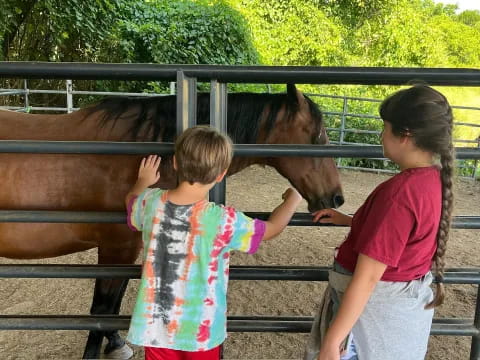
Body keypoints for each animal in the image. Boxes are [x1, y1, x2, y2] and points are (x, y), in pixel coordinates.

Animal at [0, 83, 344, 358]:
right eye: (317, 136)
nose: (337, 198)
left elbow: (113, 305)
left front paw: (117, 343)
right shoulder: (115, 247)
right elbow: (101, 309)